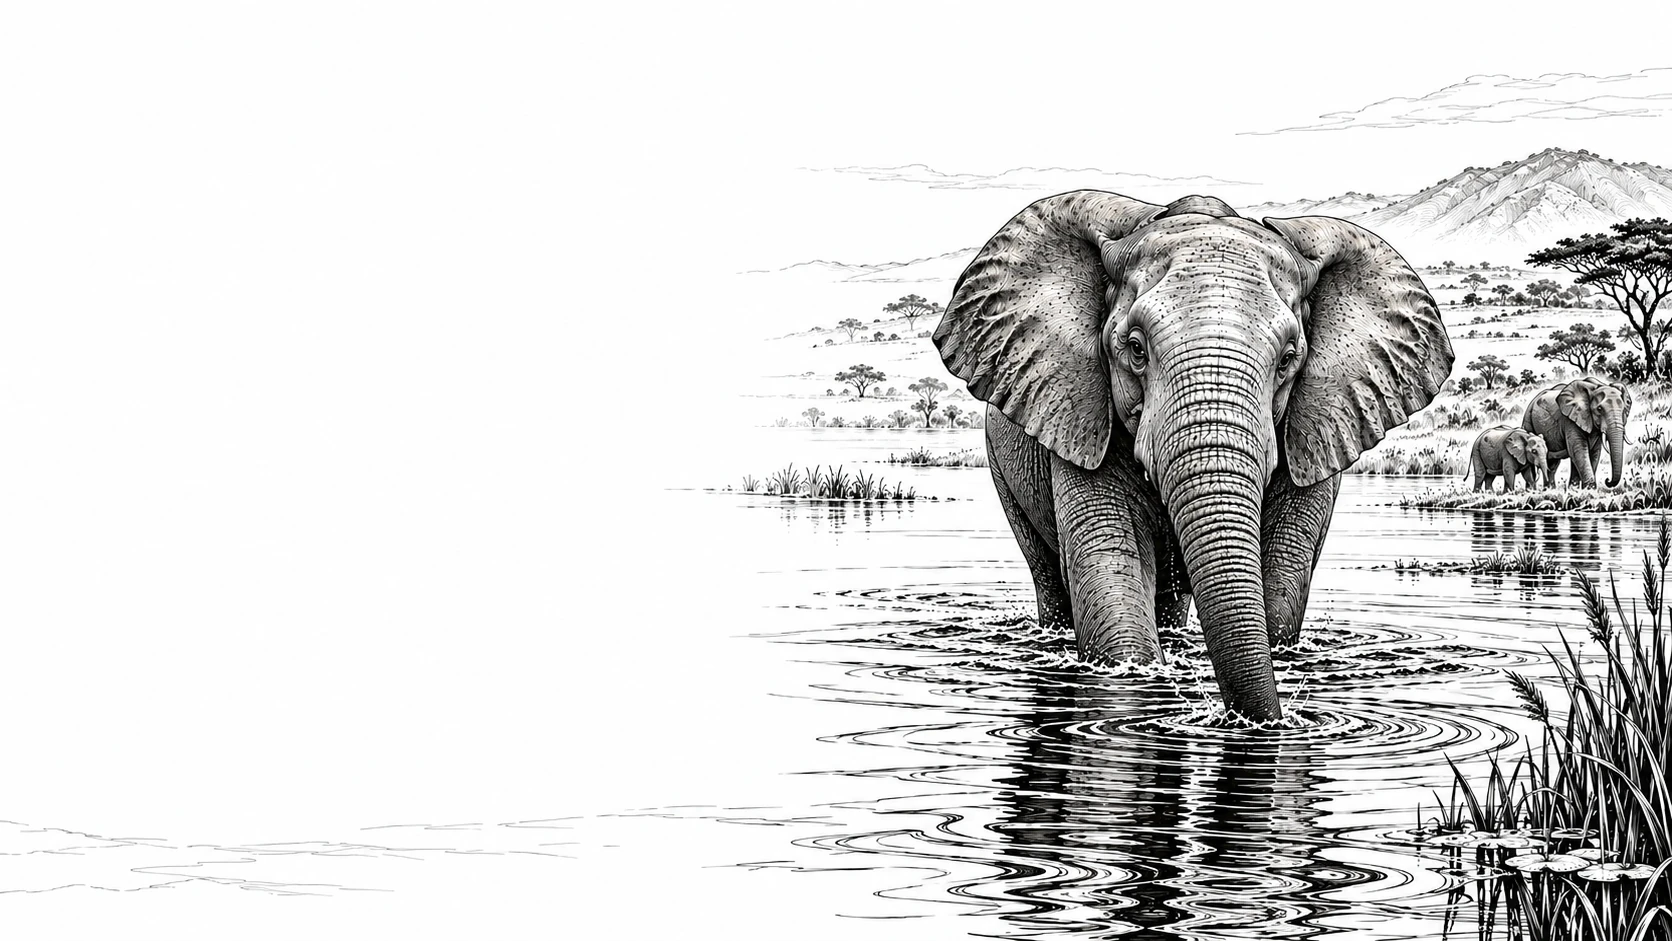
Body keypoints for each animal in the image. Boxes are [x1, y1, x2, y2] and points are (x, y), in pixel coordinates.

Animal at [932, 191, 1452, 722]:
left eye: (1289, 359)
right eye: (1135, 349)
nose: (1268, 722)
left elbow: (1282, 578)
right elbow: (1109, 569)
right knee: (1048, 574)